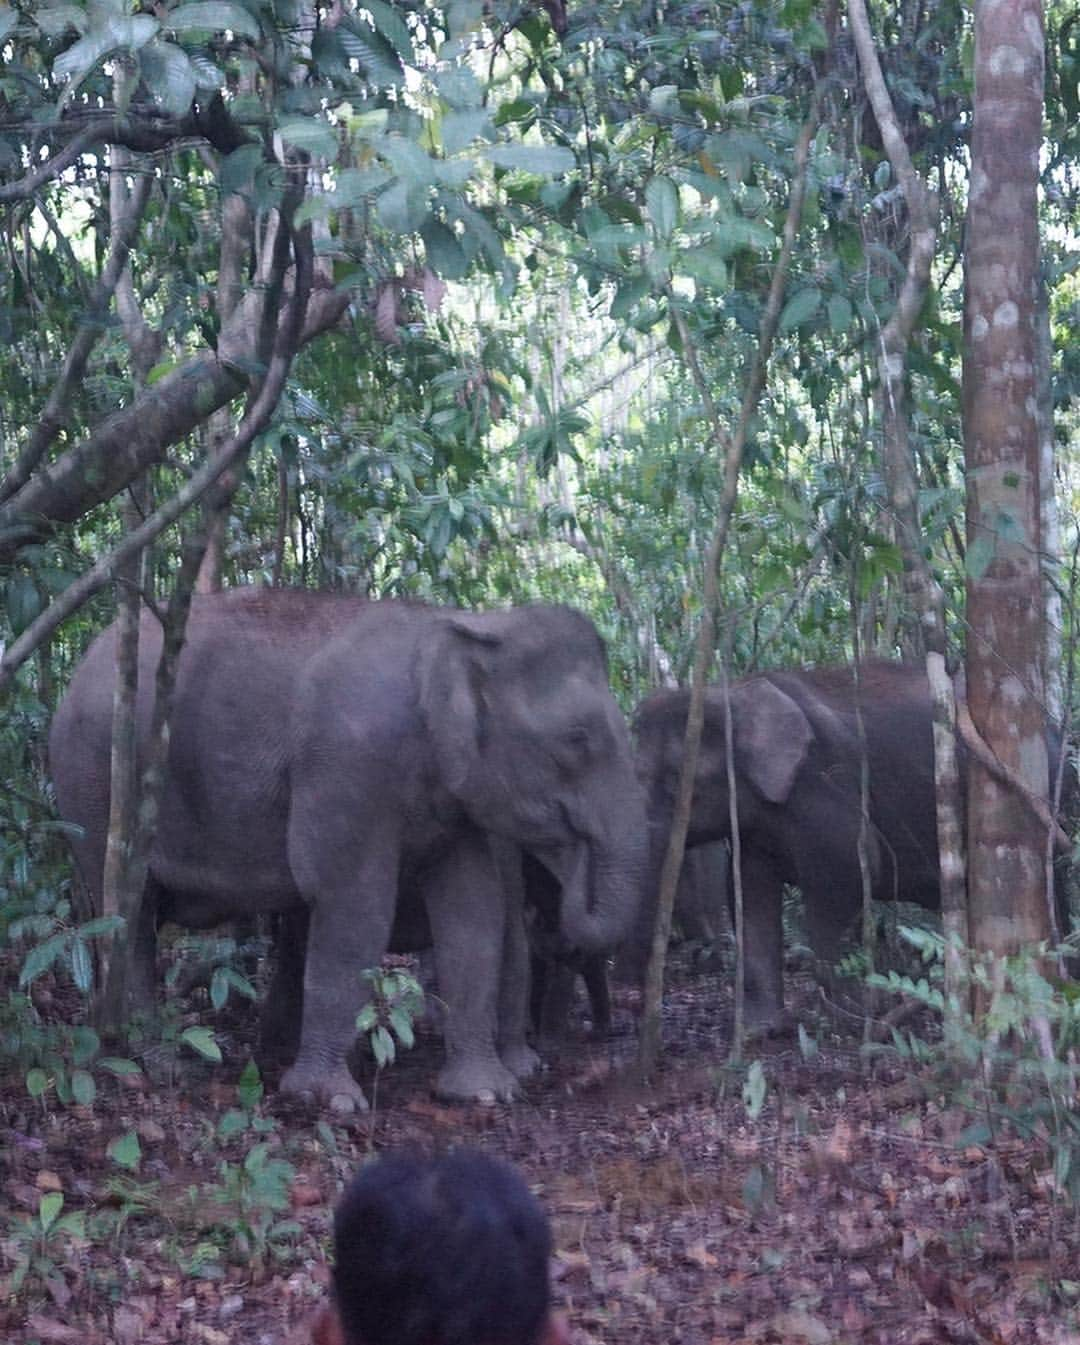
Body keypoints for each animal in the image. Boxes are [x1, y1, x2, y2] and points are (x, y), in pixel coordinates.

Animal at [50, 594, 645, 1108]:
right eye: (577, 738)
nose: (575, 849)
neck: (465, 625)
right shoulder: (346, 763)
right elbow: (354, 903)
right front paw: (330, 1100)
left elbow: (473, 911)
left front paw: (484, 1093)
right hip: (92, 783)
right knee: (130, 917)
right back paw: (157, 1062)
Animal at [634, 661, 1070, 1027]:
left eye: (675, 783)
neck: (731, 691)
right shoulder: (758, 824)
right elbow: (750, 894)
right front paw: (762, 1030)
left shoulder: (823, 782)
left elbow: (846, 874)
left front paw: (849, 1018)